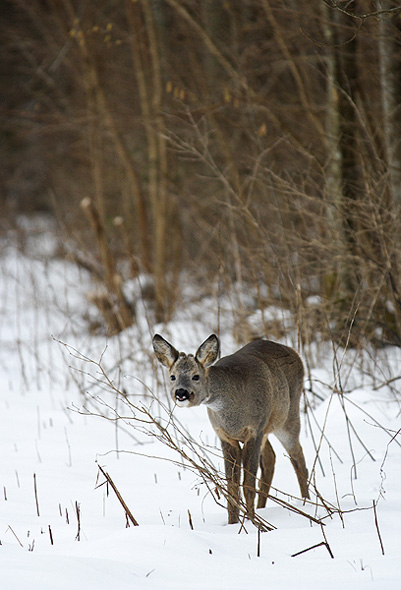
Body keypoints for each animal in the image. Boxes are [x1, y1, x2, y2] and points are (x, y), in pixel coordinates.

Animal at [152, 333, 310, 524]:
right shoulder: (226, 436)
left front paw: (252, 522)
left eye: (195, 376)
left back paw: (307, 503)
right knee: (271, 458)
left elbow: (248, 485)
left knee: (298, 457)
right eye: (172, 376)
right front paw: (233, 523)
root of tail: (294, 352)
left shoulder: (254, 431)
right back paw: (263, 507)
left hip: (288, 416)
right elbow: (232, 487)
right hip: (268, 429)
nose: (181, 393)